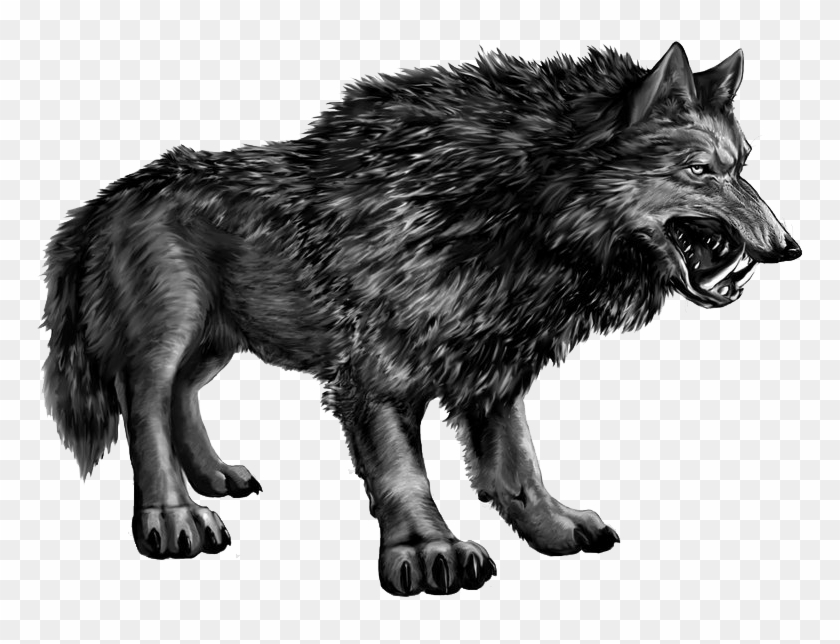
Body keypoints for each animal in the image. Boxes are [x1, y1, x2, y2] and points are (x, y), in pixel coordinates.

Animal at [42, 42, 800, 595]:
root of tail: (106, 201)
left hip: (218, 342)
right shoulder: (377, 377)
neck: (518, 215)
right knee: (144, 404)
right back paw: (175, 516)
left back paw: (214, 477)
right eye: (700, 170)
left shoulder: (494, 369)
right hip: (170, 333)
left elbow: (516, 465)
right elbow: (406, 474)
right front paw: (429, 549)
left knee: (181, 397)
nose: (788, 247)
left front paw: (551, 526)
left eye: (743, 166)